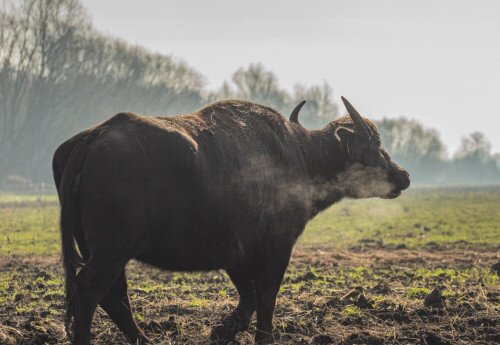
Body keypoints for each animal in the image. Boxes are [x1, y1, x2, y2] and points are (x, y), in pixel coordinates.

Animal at [52, 95, 408, 342]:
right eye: (376, 143)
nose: (402, 175)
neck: (300, 157)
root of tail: (97, 135)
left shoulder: (235, 253)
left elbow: (247, 296)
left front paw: (223, 330)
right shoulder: (276, 246)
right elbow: (265, 297)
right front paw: (261, 338)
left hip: (102, 249)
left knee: (114, 296)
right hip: (111, 249)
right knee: (91, 290)